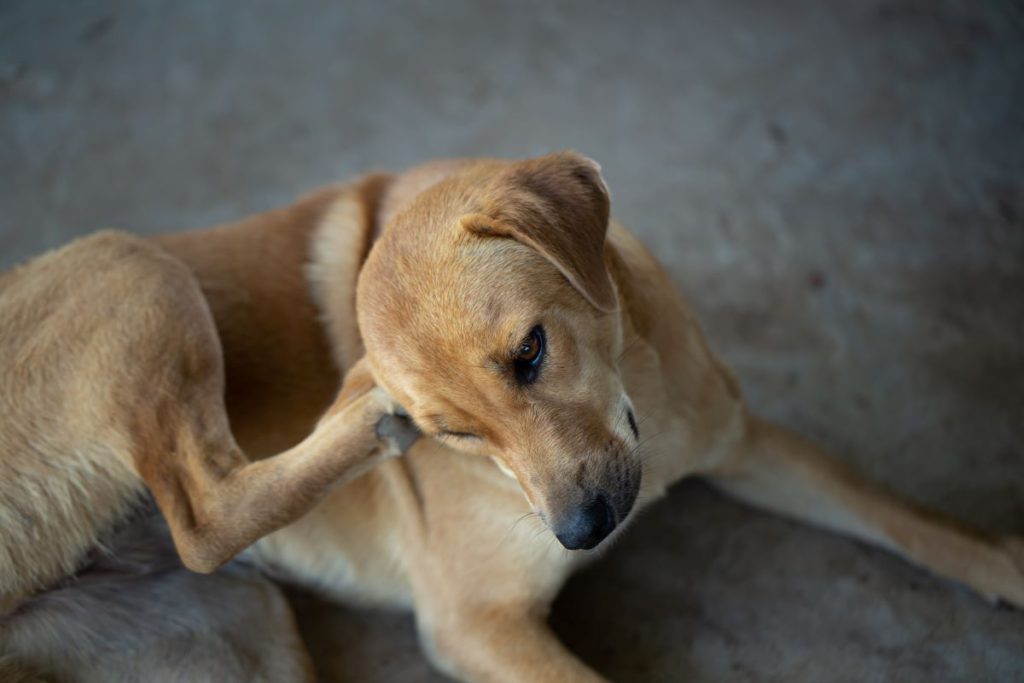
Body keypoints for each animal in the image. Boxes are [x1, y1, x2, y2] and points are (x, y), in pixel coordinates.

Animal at [2, 152, 1024, 679]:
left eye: (530, 352)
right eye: (455, 431)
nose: (583, 529)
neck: (642, 397)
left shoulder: (746, 442)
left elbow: (905, 515)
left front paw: (1003, 562)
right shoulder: (477, 624)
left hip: (241, 627)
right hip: (131, 262)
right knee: (204, 512)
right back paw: (358, 419)